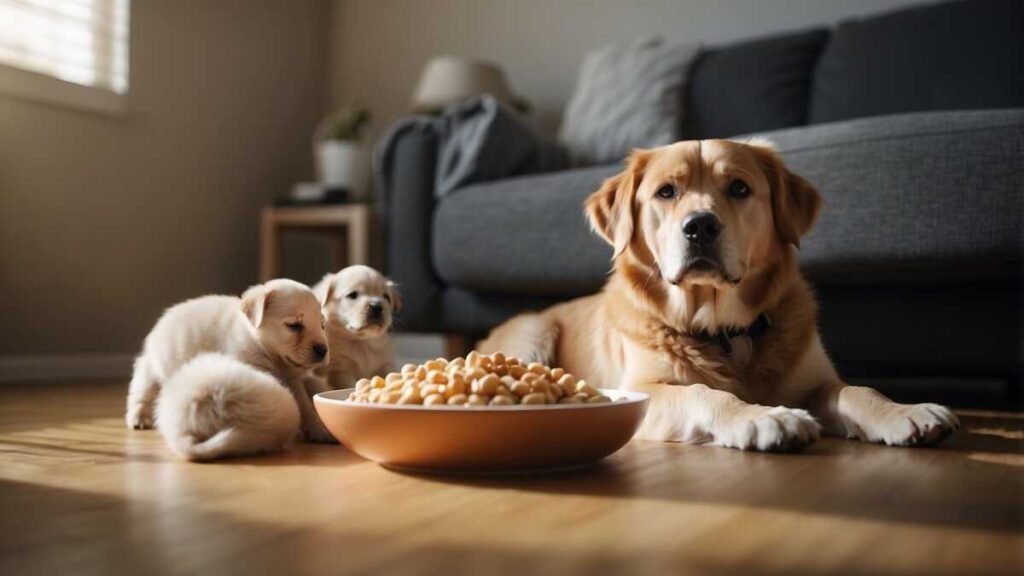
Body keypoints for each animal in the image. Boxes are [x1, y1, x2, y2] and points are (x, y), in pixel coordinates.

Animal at [122, 276, 333, 446]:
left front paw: (319, 431)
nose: (323, 350)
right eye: (294, 325)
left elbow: (306, 406)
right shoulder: (251, 364)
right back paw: (139, 418)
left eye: (322, 325)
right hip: (154, 365)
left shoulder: (294, 380)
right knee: (142, 392)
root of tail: (163, 319)